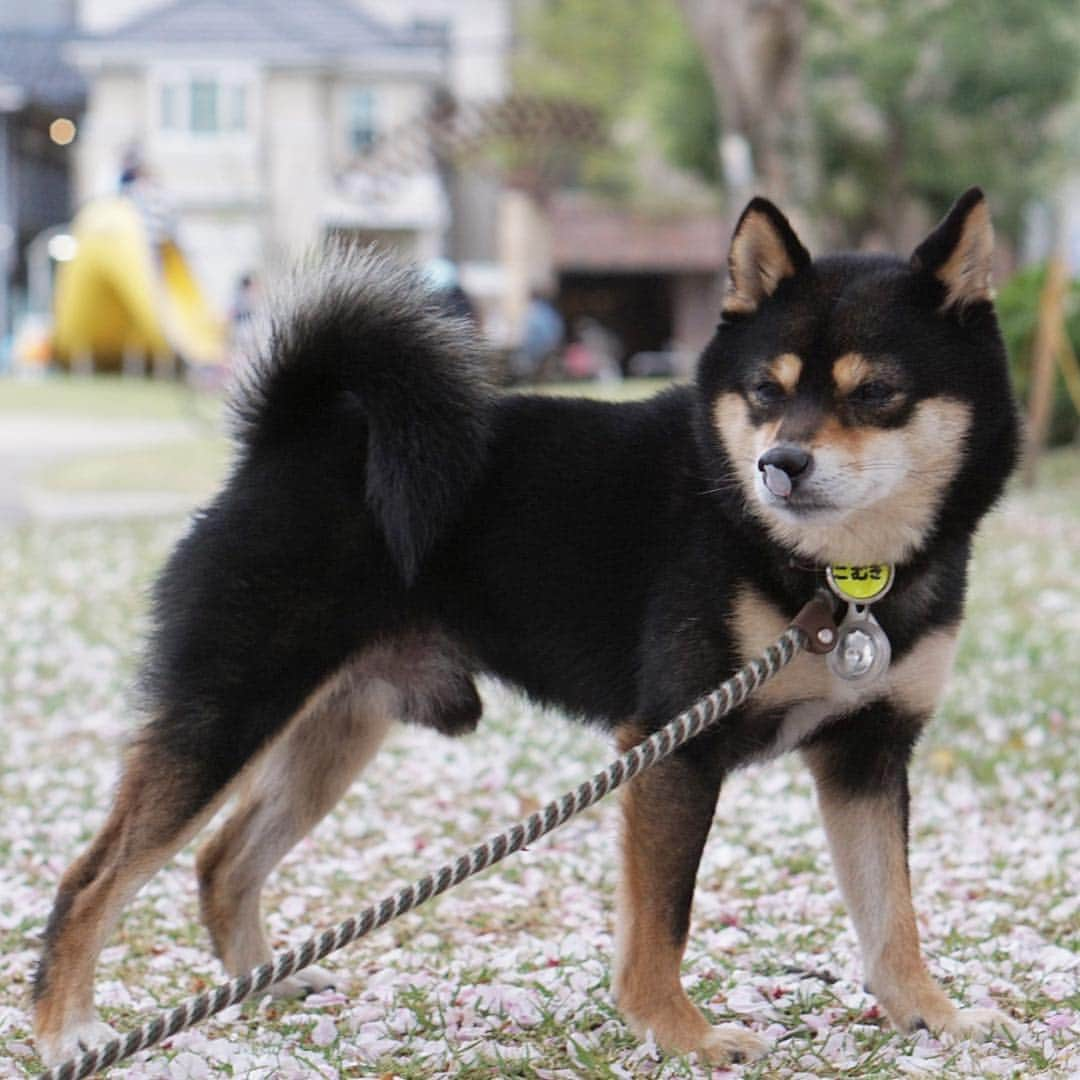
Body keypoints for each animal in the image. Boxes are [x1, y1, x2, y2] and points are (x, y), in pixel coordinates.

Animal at [35, 190, 1019, 1067]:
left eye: (878, 393)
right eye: (764, 391)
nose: (780, 465)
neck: (836, 580)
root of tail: (287, 438)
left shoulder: (868, 754)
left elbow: (892, 916)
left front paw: (930, 1016)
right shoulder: (674, 745)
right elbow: (662, 925)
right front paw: (683, 1036)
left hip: (334, 730)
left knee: (223, 863)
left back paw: (265, 987)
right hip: (231, 709)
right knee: (92, 880)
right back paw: (66, 1033)